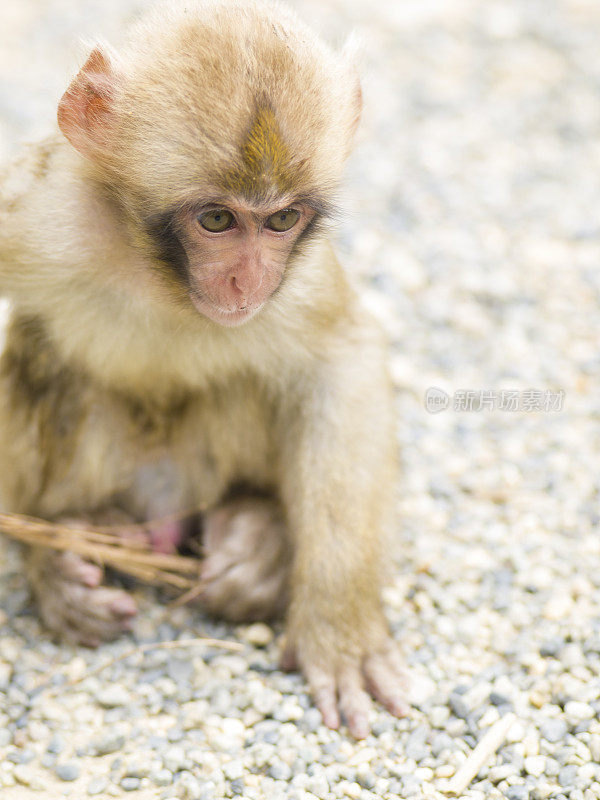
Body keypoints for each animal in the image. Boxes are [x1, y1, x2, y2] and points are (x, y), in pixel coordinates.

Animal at [0, 0, 408, 736]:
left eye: (281, 219)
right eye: (217, 219)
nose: (247, 281)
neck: (156, 269)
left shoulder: (297, 275)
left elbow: (341, 360)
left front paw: (339, 623)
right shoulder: (37, 216)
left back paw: (260, 537)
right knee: (44, 354)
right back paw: (64, 549)